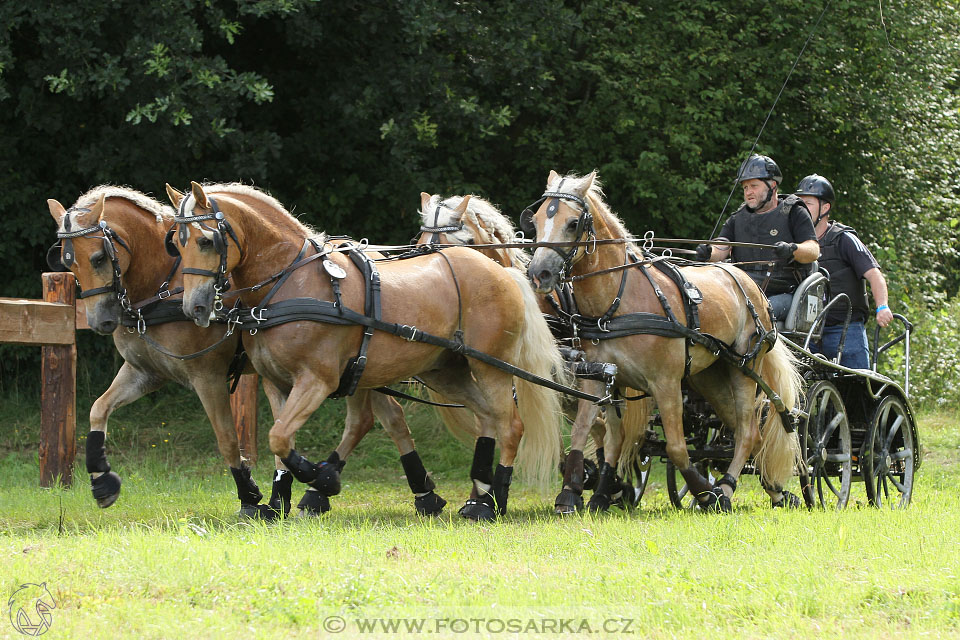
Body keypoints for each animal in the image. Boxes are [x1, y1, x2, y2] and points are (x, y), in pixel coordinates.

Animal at [169, 181, 568, 520]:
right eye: (176, 241)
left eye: (206, 241)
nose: (194, 308)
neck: (292, 282)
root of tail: (503, 273)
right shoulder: (275, 383)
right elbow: (280, 441)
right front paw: (279, 500)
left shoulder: (317, 380)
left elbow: (279, 437)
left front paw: (322, 478)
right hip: (444, 371)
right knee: (487, 418)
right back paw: (478, 496)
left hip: (491, 366)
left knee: (510, 426)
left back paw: (495, 499)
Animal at [524, 170, 804, 510]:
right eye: (536, 220)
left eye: (573, 223)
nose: (539, 273)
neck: (617, 302)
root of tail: (751, 285)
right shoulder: (599, 378)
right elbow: (593, 435)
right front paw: (582, 493)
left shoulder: (666, 384)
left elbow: (676, 447)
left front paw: (703, 492)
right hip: (710, 378)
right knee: (748, 433)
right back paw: (774, 490)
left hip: (743, 371)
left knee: (748, 434)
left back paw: (725, 490)